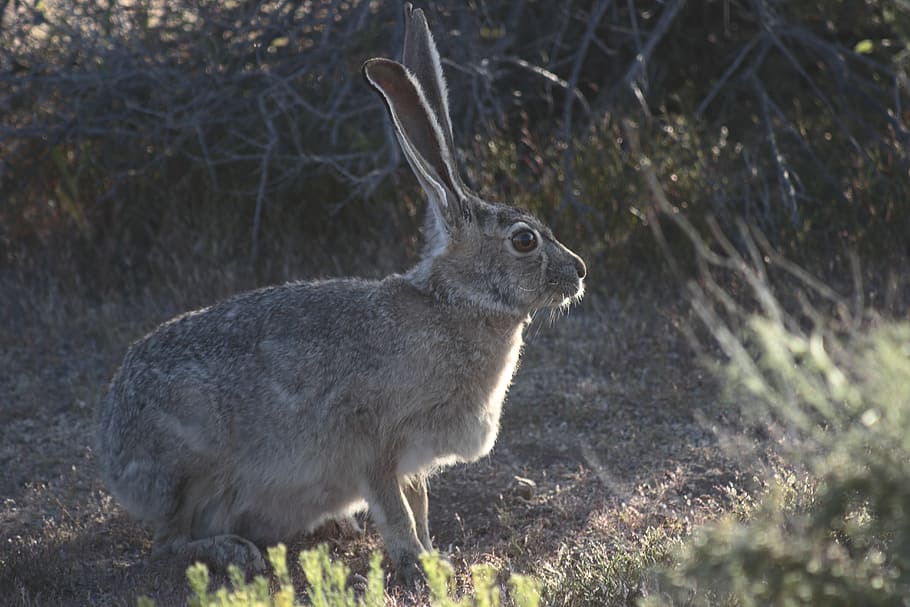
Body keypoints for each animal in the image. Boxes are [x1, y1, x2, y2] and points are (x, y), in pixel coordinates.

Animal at [96, 3, 586, 585]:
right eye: (524, 240)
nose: (579, 271)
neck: (455, 304)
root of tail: (114, 452)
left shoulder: (411, 460)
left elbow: (419, 505)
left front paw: (434, 556)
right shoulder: (371, 441)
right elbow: (396, 510)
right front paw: (417, 565)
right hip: (191, 464)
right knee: (167, 543)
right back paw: (234, 551)